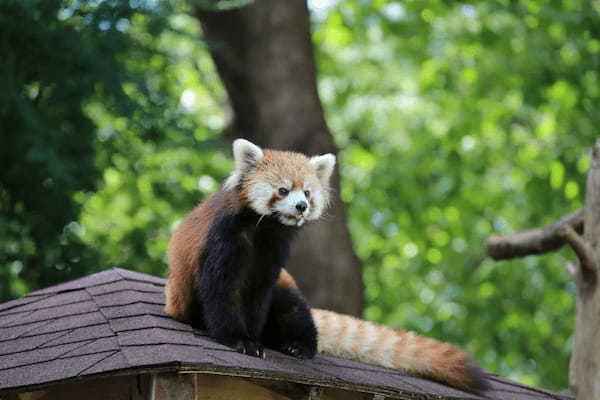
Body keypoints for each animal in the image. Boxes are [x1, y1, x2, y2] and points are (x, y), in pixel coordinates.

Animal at [165, 139, 488, 392]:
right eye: (283, 190)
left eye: (307, 192)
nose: (301, 207)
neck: (265, 230)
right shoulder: (223, 238)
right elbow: (222, 291)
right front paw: (239, 340)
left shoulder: (271, 259)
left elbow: (257, 295)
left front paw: (254, 336)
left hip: (286, 290)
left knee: (294, 310)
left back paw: (296, 344)